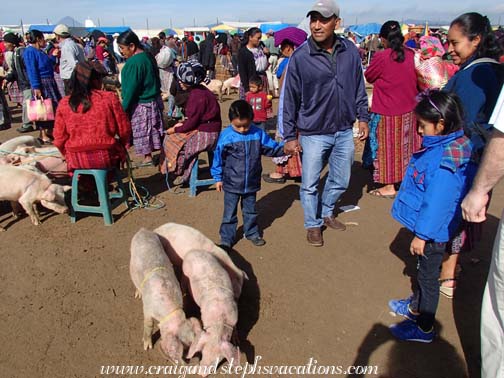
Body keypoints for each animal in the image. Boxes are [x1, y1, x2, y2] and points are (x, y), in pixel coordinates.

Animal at [129, 229, 202, 362]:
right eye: (184, 346)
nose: (189, 358)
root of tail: (142, 230)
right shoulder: (147, 309)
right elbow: (148, 325)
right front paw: (147, 347)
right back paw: (138, 294)